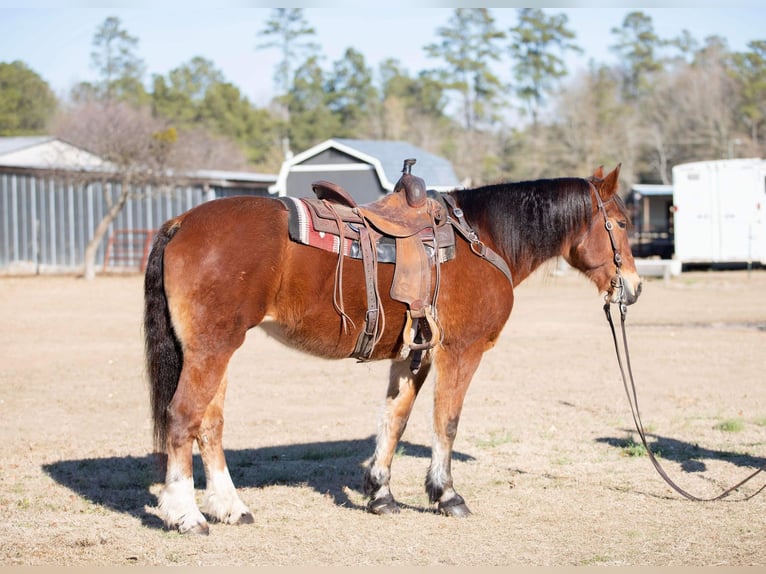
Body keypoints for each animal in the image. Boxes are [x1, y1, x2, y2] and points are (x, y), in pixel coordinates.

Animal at [142, 162, 640, 536]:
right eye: (620, 223)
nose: (633, 288)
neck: (483, 239)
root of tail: (180, 223)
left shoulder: (413, 354)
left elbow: (394, 419)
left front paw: (380, 494)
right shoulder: (460, 351)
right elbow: (447, 422)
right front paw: (446, 494)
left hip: (216, 349)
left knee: (210, 425)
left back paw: (230, 506)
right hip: (211, 349)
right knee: (183, 417)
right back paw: (186, 514)